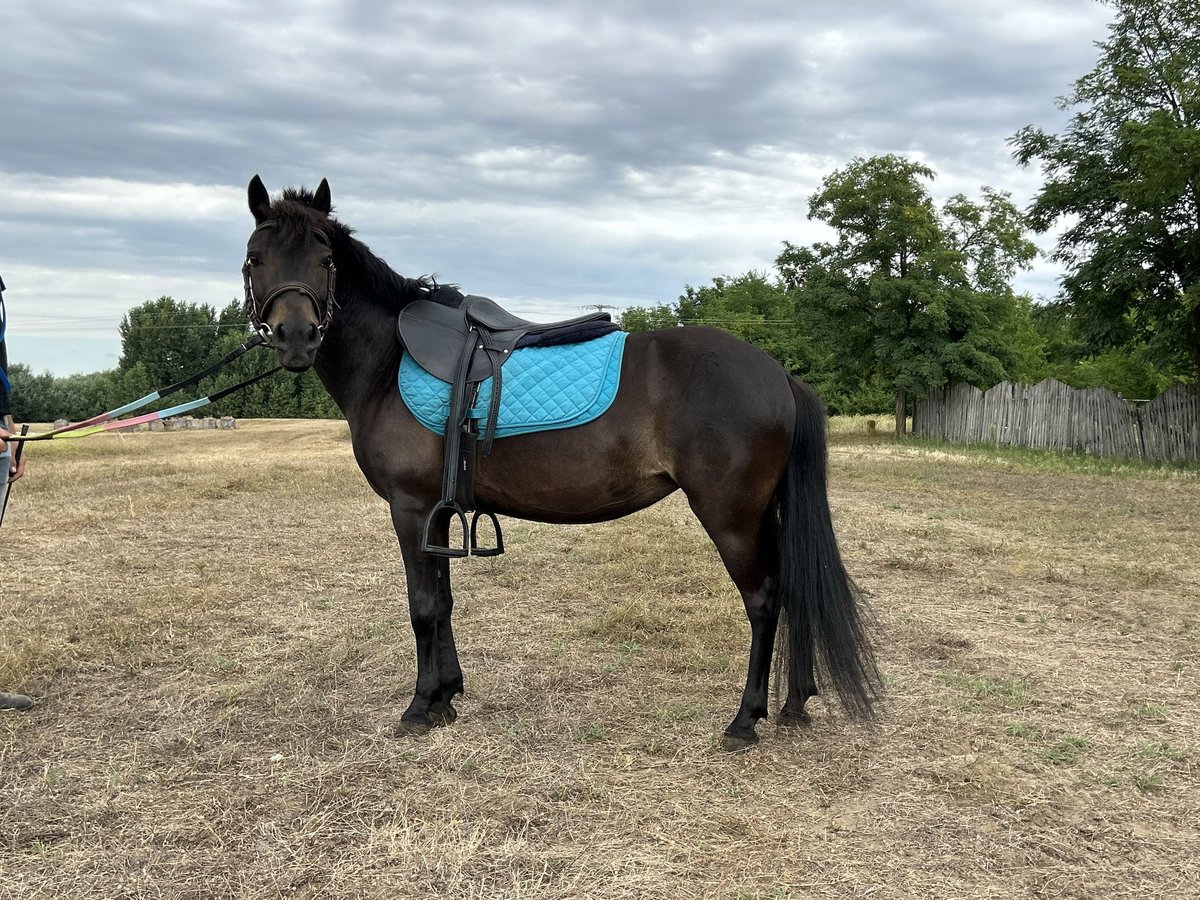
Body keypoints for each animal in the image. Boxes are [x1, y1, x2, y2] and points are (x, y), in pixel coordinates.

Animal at [241, 175, 879, 750]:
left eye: (325, 259)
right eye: (255, 259)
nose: (295, 337)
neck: (389, 361)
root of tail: (778, 374)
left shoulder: (411, 507)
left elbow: (422, 607)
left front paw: (420, 707)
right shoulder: (437, 513)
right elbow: (443, 602)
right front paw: (446, 696)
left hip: (733, 517)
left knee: (764, 600)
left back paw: (746, 720)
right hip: (766, 513)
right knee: (793, 589)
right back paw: (795, 704)